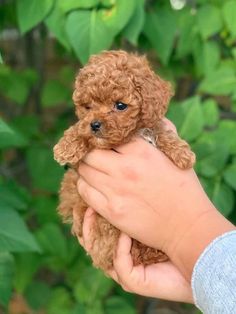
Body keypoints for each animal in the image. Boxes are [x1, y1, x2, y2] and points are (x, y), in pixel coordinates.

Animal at [54, 49, 195, 272]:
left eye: (120, 106)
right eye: (87, 107)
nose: (94, 124)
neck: (129, 137)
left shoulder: (150, 126)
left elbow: (160, 131)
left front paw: (182, 153)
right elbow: (79, 129)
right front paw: (66, 146)